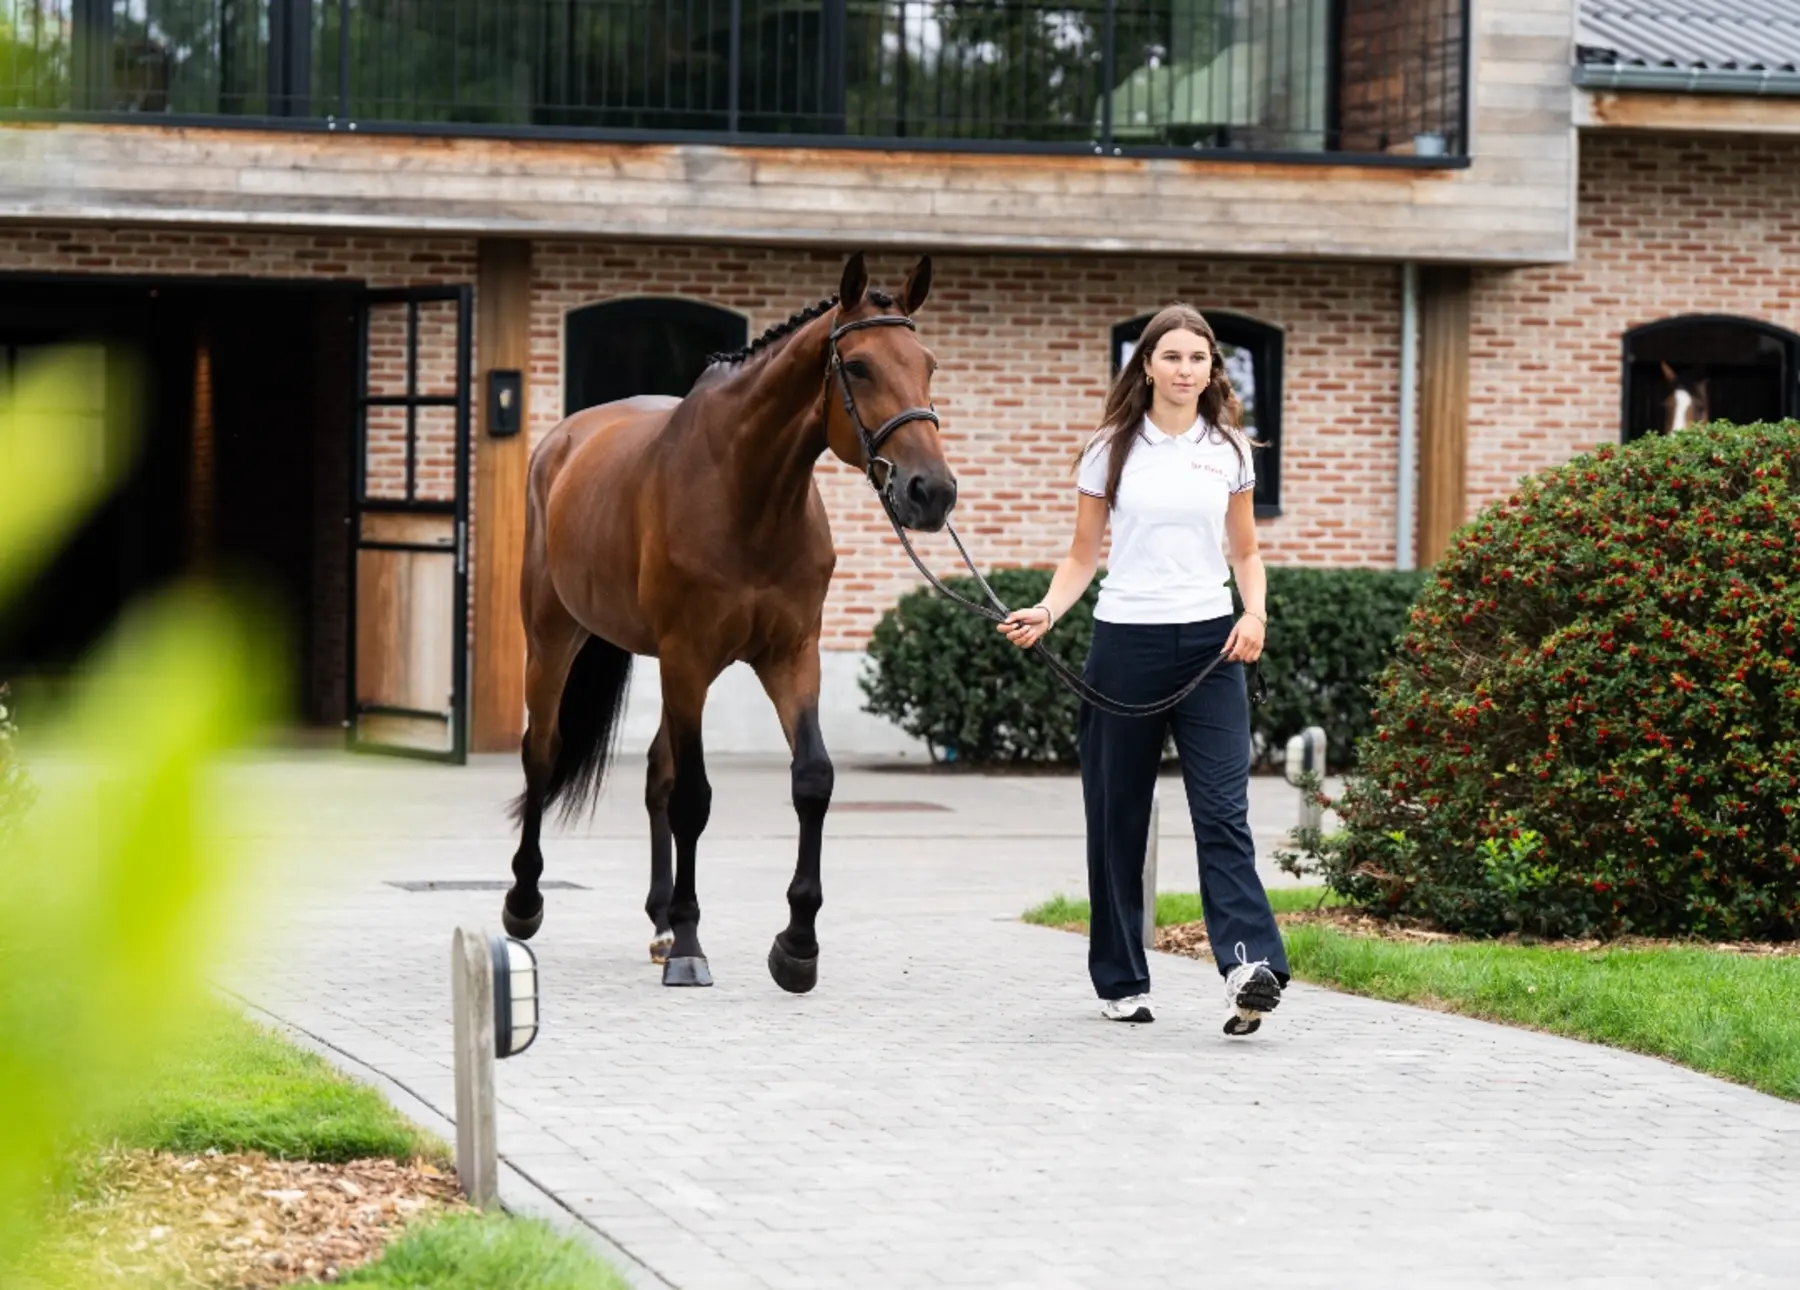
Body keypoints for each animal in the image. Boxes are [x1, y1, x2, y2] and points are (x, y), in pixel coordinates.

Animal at [503, 251, 955, 993]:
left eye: (929, 365)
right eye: (859, 367)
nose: (932, 491)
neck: (745, 494)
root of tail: (563, 441)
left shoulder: (791, 655)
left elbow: (812, 780)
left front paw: (796, 946)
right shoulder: (689, 654)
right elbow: (694, 796)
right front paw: (692, 944)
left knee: (655, 769)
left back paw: (659, 921)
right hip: (554, 638)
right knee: (542, 754)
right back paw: (525, 902)